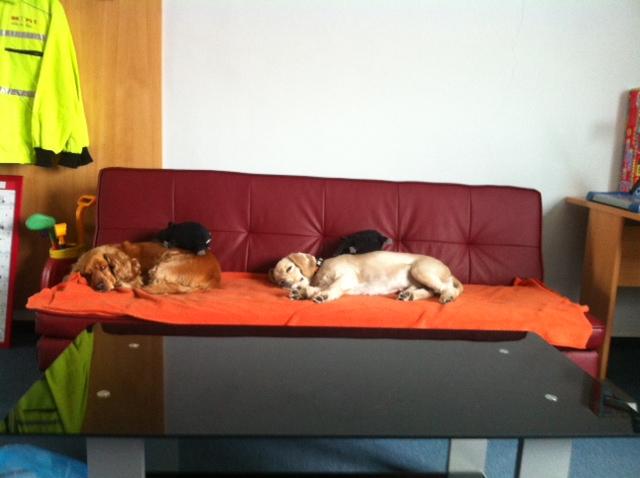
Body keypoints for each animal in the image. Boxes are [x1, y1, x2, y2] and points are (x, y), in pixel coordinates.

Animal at [269, 251, 463, 304]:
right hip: (416, 280)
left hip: (419, 269)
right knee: (430, 291)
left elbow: (332, 288)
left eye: (289, 268)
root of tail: (449, 271)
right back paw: (410, 295)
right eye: (278, 281)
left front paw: (322, 295)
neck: (319, 272)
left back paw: (448, 296)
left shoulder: (346, 278)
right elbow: (313, 289)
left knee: (446, 289)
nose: (285, 283)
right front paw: (301, 293)